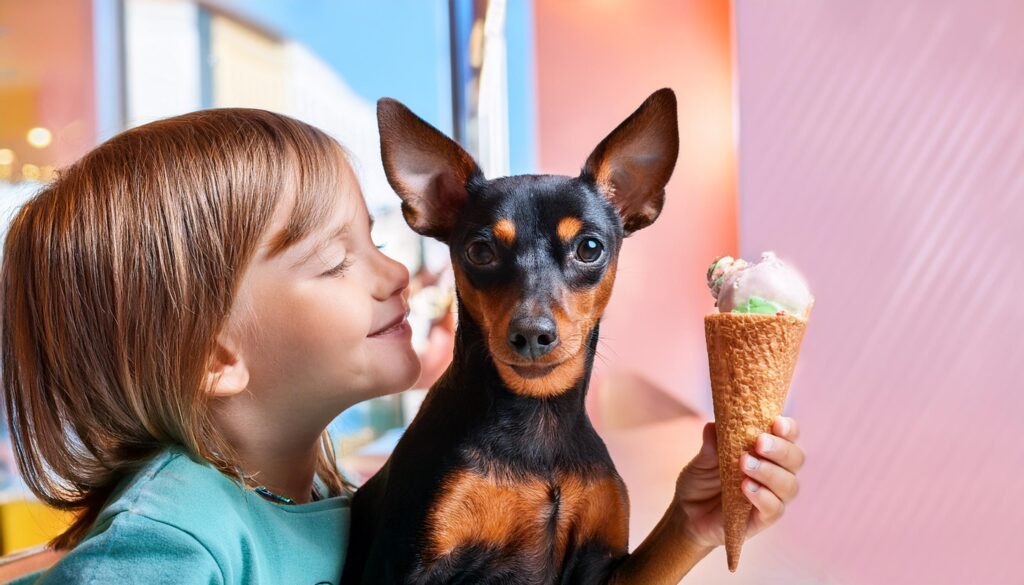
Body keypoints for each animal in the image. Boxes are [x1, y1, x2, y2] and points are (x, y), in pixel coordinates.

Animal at [344, 88, 704, 585]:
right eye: (480, 250)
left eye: (589, 247)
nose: (532, 334)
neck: (539, 418)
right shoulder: (406, 566)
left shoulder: (603, 565)